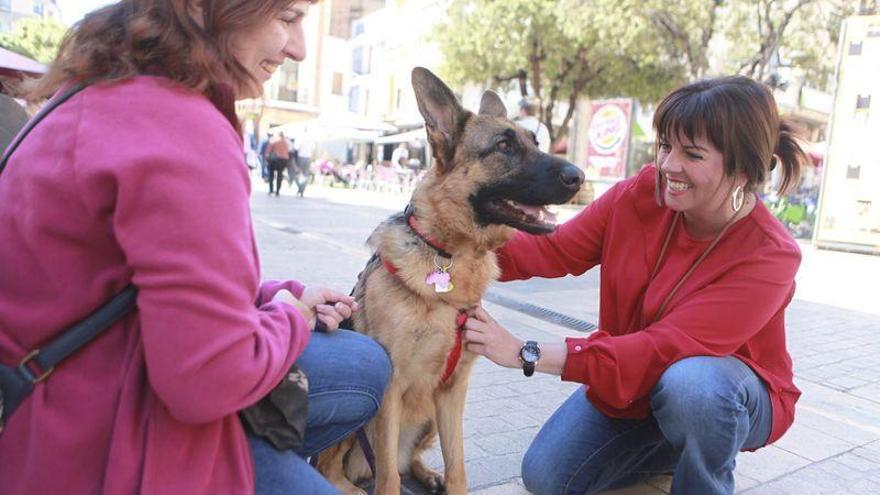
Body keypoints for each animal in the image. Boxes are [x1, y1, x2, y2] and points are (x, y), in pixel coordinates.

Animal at [318, 67, 584, 495]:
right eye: (504, 146)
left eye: (535, 142)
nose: (579, 176)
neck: (450, 256)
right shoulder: (390, 390)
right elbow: (388, 475)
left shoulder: (453, 391)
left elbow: (457, 465)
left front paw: (449, 480)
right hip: (362, 409)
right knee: (336, 467)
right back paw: (353, 485)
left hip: (427, 415)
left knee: (409, 460)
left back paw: (429, 475)